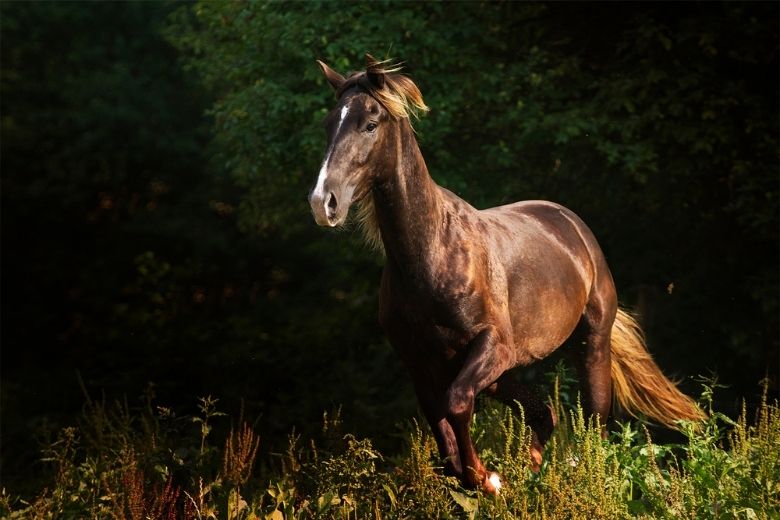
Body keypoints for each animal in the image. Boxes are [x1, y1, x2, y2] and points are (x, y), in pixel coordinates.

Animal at [308, 54, 704, 494]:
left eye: (370, 124)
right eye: (329, 124)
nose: (323, 202)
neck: (430, 256)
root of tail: (572, 224)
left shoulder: (492, 346)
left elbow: (457, 404)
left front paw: (488, 478)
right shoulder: (422, 363)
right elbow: (444, 435)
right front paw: (481, 478)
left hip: (590, 346)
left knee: (595, 425)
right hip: (505, 371)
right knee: (544, 413)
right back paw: (536, 473)